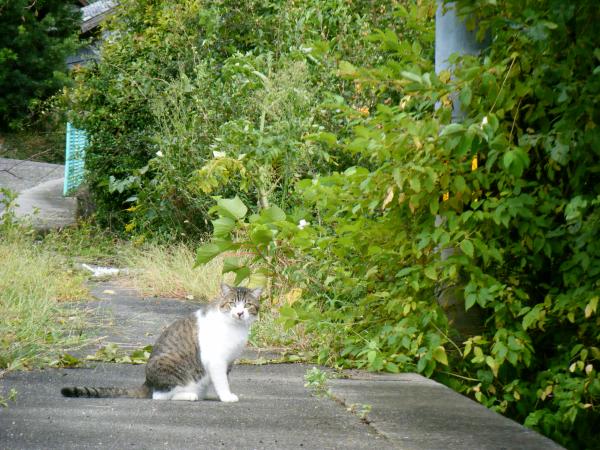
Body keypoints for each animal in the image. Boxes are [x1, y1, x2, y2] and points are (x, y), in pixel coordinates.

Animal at [61, 284, 262, 402]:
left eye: (247, 305)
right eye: (232, 303)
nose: (239, 313)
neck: (236, 327)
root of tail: (147, 382)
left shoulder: (229, 361)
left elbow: (222, 379)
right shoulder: (216, 360)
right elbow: (221, 381)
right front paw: (226, 396)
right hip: (170, 366)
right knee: (160, 396)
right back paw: (189, 395)